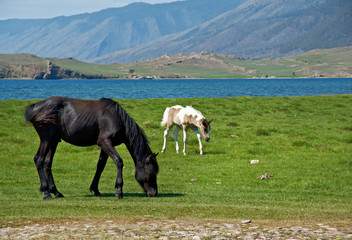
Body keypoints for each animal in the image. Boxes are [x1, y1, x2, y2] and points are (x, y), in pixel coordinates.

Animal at [25, 96, 160, 200]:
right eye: (151, 173)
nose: (154, 193)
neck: (116, 118)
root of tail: (35, 107)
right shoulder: (105, 142)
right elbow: (119, 161)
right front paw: (119, 191)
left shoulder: (105, 145)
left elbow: (100, 166)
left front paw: (95, 190)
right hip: (47, 140)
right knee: (39, 160)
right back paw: (46, 193)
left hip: (54, 141)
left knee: (47, 163)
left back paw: (56, 192)